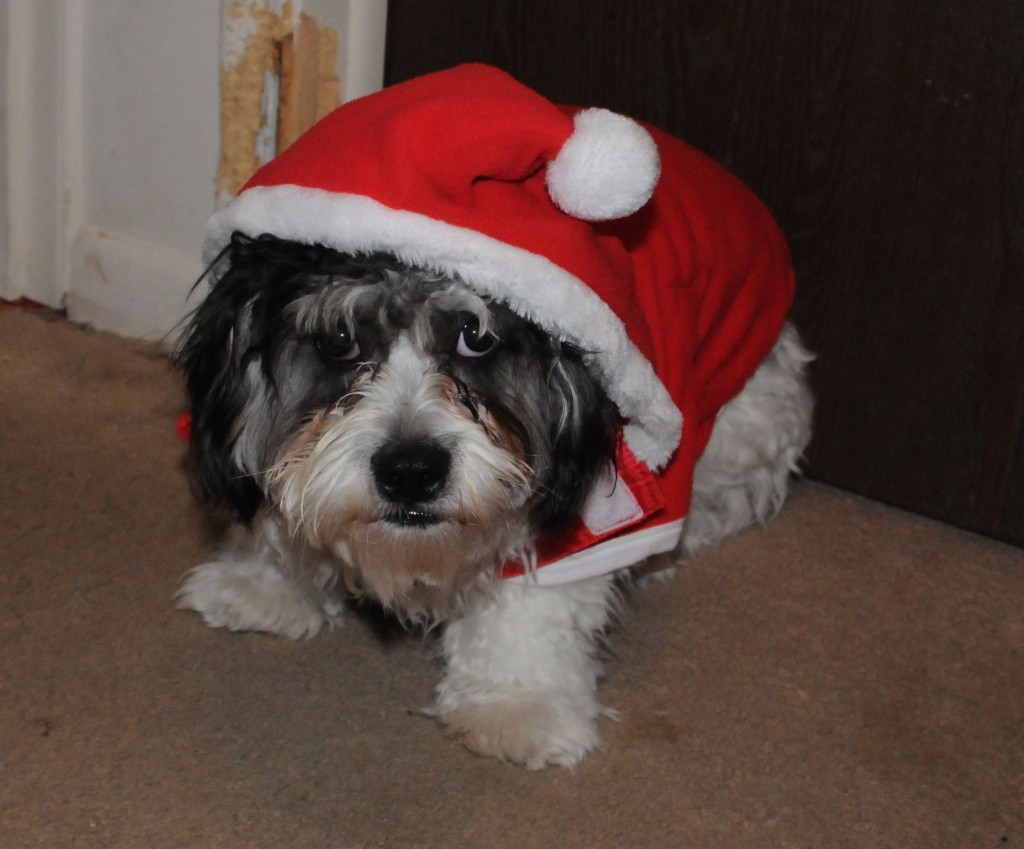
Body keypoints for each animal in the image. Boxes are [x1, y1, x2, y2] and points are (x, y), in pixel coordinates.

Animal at [178, 64, 815, 770]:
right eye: (340, 338)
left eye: (476, 337)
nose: (410, 471)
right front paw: (270, 583)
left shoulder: (596, 495)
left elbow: (536, 602)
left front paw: (517, 704)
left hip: (750, 410)